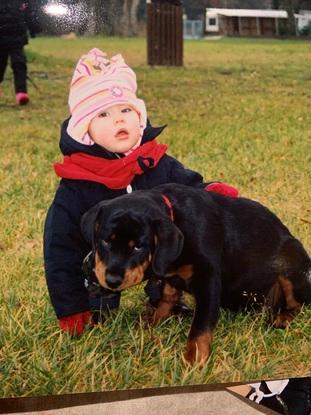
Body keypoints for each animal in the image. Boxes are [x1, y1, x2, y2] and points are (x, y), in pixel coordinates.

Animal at [81, 184, 311, 366]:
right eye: (106, 241)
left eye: (138, 247)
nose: (112, 280)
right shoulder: (171, 275)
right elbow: (167, 297)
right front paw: (151, 321)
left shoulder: (208, 278)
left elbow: (201, 326)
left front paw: (194, 361)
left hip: (291, 259)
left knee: (298, 304)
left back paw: (282, 318)